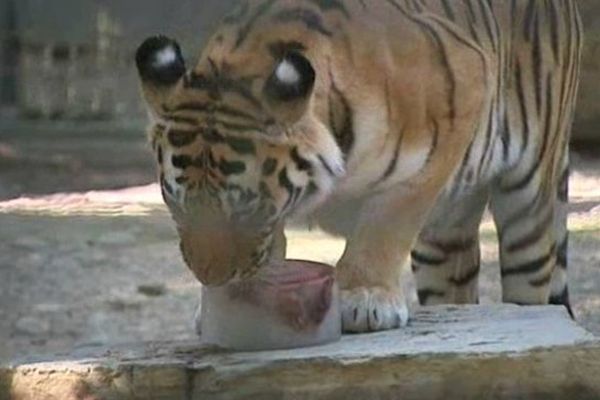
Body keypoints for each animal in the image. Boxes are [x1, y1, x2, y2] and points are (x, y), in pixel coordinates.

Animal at [135, 0, 580, 332]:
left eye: (247, 209)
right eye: (178, 206)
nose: (211, 278)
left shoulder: (463, 91)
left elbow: (385, 224)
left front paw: (365, 297)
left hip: (528, 206)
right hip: (443, 240)